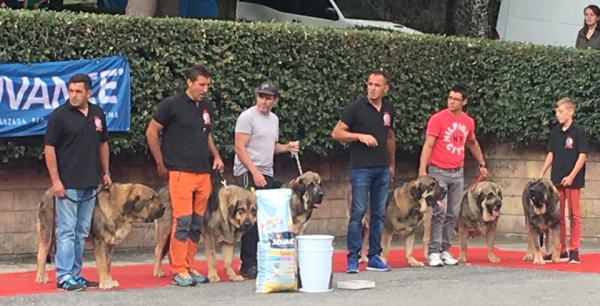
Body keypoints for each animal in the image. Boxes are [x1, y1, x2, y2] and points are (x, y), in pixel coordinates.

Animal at [36, 184, 165, 290]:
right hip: (49, 231)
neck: (118, 208)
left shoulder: (111, 243)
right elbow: (102, 263)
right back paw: (41, 276)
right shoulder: (99, 241)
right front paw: (105, 282)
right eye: (151, 198)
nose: (164, 207)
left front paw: (109, 280)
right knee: (41, 254)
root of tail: (46, 193)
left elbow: (108, 264)